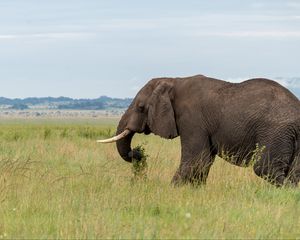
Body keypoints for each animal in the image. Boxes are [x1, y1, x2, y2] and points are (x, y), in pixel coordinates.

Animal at [99, 75, 300, 188]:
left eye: (141, 107)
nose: (138, 152)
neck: (174, 80)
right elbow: (204, 162)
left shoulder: (192, 119)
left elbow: (196, 160)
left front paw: (171, 191)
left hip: (275, 132)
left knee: (265, 168)